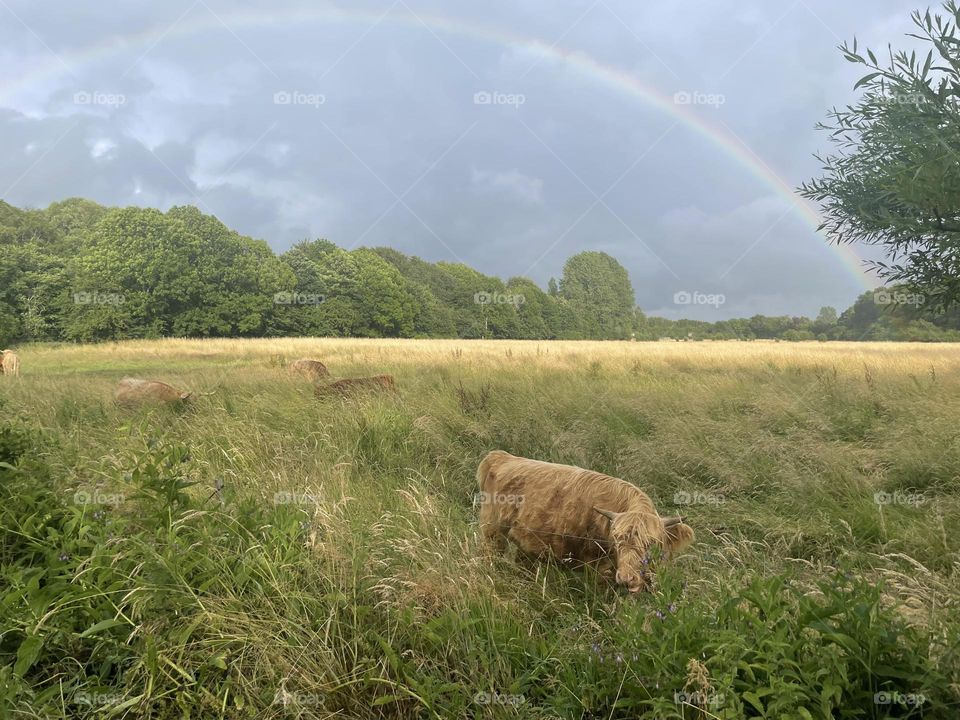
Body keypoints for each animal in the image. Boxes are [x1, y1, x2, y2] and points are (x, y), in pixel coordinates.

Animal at [476, 450, 694, 594]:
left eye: (651, 543)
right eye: (616, 540)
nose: (626, 578)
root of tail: (502, 456)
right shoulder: (598, 568)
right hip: (492, 532)